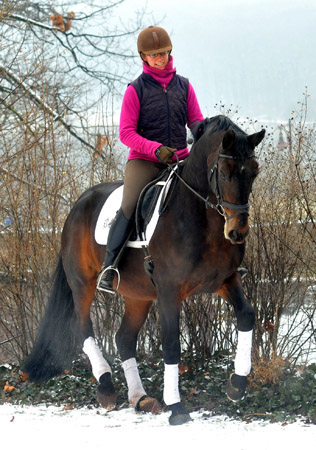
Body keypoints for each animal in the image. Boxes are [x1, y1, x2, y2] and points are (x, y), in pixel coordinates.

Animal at [21, 115, 264, 426]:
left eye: (254, 172)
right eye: (223, 172)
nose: (237, 232)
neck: (202, 219)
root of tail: (80, 202)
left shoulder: (226, 280)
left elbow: (246, 316)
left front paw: (237, 385)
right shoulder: (169, 292)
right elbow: (171, 345)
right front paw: (177, 408)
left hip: (138, 294)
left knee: (124, 338)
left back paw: (140, 398)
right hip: (82, 283)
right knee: (83, 327)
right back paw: (106, 386)